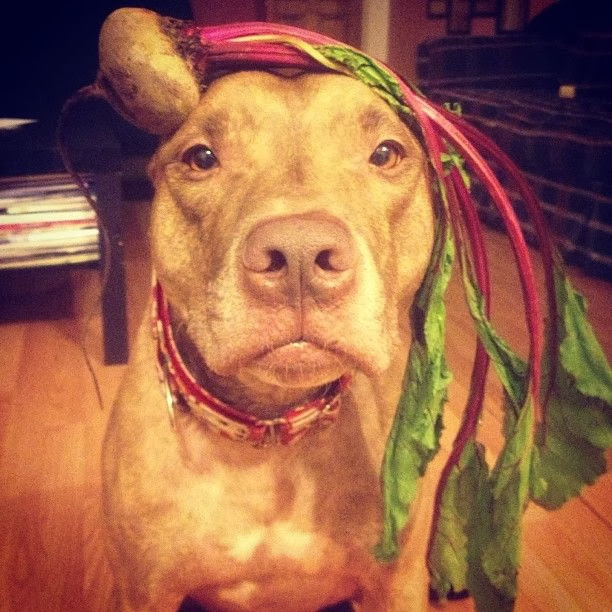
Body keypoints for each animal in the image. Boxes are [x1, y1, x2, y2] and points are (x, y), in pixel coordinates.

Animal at [100, 23, 438, 612]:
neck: (270, 429)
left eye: (386, 153)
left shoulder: (395, 584)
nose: (299, 253)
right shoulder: (143, 591)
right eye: (201, 157)